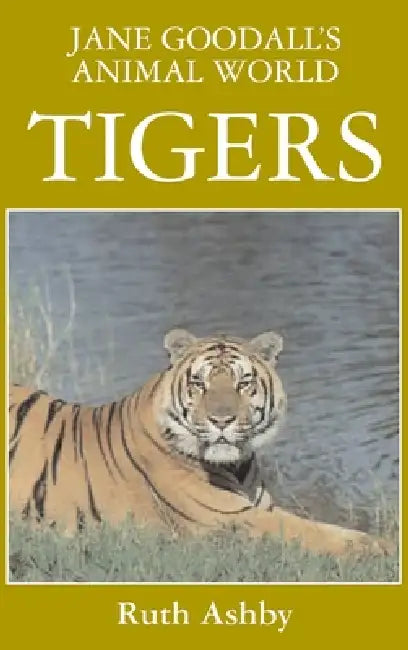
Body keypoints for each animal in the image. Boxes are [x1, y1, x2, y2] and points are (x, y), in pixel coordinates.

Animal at [9, 328, 391, 556]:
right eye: (199, 384)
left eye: (243, 383)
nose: (221, 420)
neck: (238, 465)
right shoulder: (231, 518)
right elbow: (312, 532)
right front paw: (382, 548)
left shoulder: (260, 507)